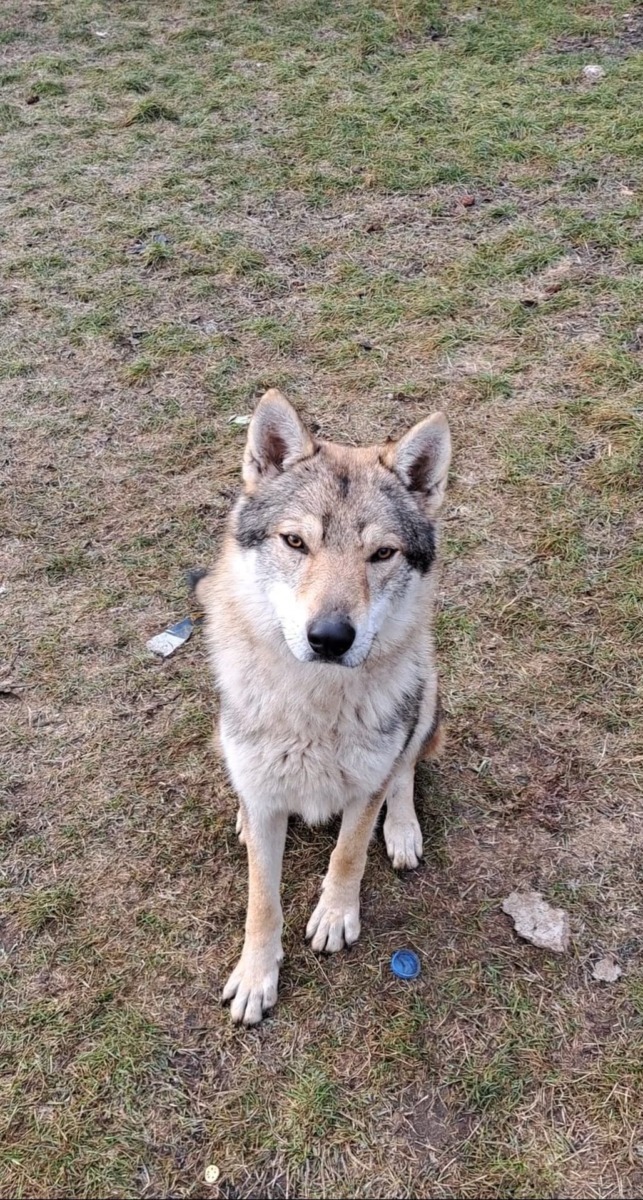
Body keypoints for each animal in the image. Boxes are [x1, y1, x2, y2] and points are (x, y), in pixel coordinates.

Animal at [195, 389, 451, 1024]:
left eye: (382, 553)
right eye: (295, 542)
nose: (330, 638)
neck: (315, 707)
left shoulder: (364, 790)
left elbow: (348, 854)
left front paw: (336, 917)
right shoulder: (265, 798)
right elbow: (262, 899)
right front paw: (256, 976)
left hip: (427, 690)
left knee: (405, 771)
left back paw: (403, 829)